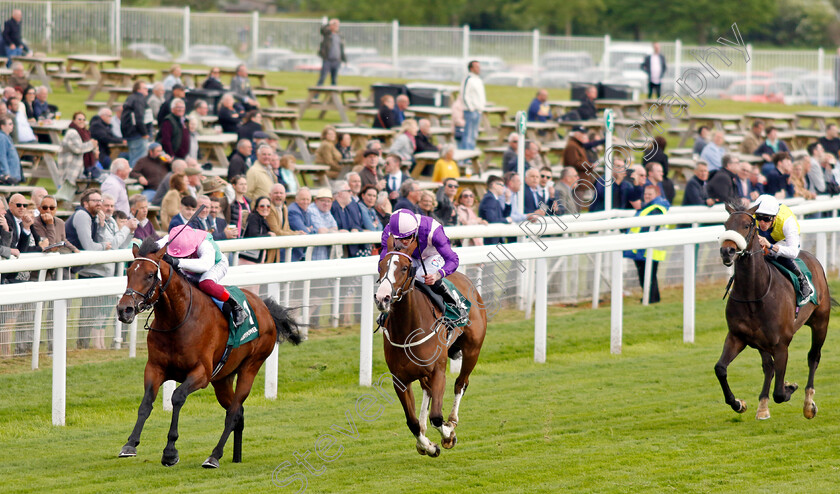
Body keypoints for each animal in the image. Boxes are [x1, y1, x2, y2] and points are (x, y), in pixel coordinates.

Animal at [115, 237, 302, 468]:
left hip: (250, 367)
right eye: (129, 272)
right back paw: (235, 456)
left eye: (150, 275)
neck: (177, 320)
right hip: (222, 379)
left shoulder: (201, 373)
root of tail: (265, 308)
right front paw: (130, 444)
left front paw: (170, 452)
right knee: (238, 412)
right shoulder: (155, 368)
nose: (124, 310)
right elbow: (146, 403)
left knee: (233, 412)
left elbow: (177, 397)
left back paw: (214, 456)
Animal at [374, 237, 486, 458]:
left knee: (461, 383)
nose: (382, 298)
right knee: (427, 390)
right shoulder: (400, 380)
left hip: (472, 349)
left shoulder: (438, 372)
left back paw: (452, 420)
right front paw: (428, 446)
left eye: (405, 268)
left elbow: (436, 416)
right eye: (380, 266)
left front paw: (448, 435)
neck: (408, 329)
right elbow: (412, 422)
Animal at [716, 204, 832, 420]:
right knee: (768, 367)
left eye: (746, 225)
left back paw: (808, 404)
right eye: (726, 225)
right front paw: (738, 403)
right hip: (760, 341)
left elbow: (779, 393)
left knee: (813, 356)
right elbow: (720, 369)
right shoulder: (737, 336)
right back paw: (762, 405)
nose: (727, 251)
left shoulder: (781, 345)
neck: (754, 294)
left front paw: (789, 387)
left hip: (821, 321)